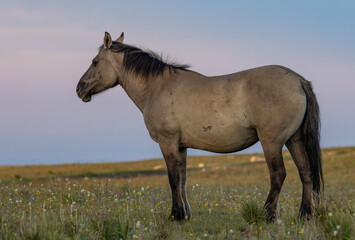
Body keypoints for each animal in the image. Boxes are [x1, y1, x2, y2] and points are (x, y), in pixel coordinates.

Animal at [76, 31, 324, 221]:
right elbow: (182, 179)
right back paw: (305, 214)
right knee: (305, 172)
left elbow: (172, 178)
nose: (79, 88)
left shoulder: (167, 142)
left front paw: (174, 216)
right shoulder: (181, 146)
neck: (157, 87)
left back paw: (268, 215)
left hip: (272, 142)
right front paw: (184, 214)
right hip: (294, 139)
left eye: (95, 62)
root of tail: (297, 80)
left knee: (278, 174)